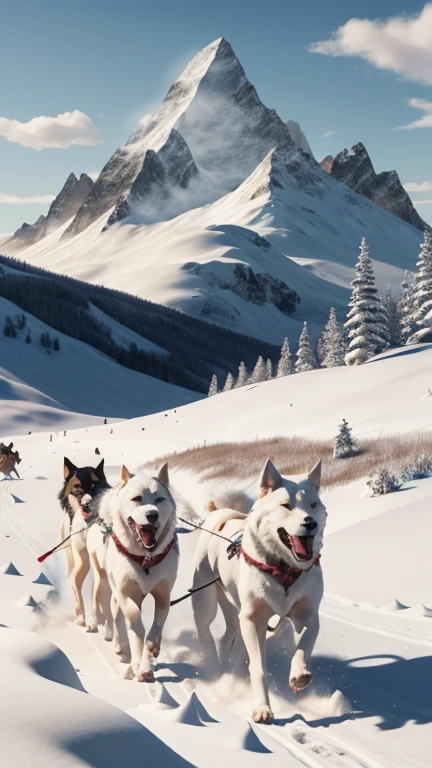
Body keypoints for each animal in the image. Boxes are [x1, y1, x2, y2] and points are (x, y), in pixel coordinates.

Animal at [58, 456, 109, 624]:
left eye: (95, 485)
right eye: (78, 486)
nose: (87, 504)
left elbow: (98, 590)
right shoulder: (83, 556)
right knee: (73, 579)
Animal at [82, 464, 178, 680]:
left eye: (160, 499)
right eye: (137, 498)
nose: (152, 514)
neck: (146, 560)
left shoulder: (164, 594)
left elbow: (156, 626)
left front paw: (150, 652)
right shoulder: (125, 593)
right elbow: (135, 622)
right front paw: (136, 659)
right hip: (104, 579)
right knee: (108, 608)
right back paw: (118, 643)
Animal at [193, 460, 328, 724]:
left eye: (313, 504)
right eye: (286, 505)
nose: (310, 523)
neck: (284, 571)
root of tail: (219, 513)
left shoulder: (308, 613)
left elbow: (305, 644)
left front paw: (299, 674)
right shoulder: (254, 620)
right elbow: (258, 668)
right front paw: (262, 708)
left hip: (235, 612)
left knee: (230, 638)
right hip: (207, 603)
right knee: (206, 632)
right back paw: (213, 663)